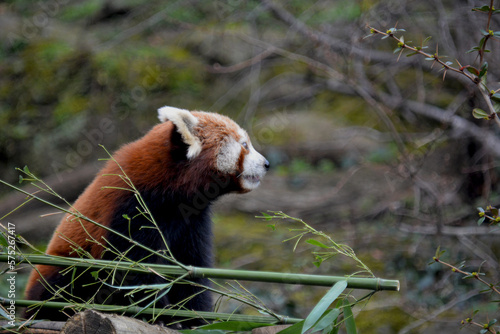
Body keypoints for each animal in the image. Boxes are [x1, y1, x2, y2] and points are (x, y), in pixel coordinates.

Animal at [24, 107, 270, 326]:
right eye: (244, 145)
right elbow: (136, 270)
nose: (267, 164)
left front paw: (194, 317)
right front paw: (161, 315)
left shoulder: (192, 221)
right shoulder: (132, 209)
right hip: (67, 269)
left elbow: (191, 268)